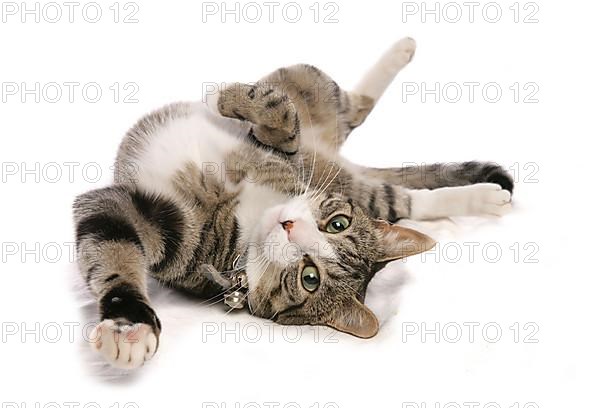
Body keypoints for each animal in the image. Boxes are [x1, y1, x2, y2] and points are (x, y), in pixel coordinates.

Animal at [72, 38, 512, 370]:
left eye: (309, 278)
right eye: (338, 224)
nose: (290, 227)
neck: (252, 214)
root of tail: (336, 157)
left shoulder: (167, 230)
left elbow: (112, 244)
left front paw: (129, 332)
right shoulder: (276, 152)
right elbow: (281, 118)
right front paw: (224, 97)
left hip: (364, 182)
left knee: (399, 198)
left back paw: (485, 196)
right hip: (308, 80)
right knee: (352, 107)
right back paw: (402, 50)